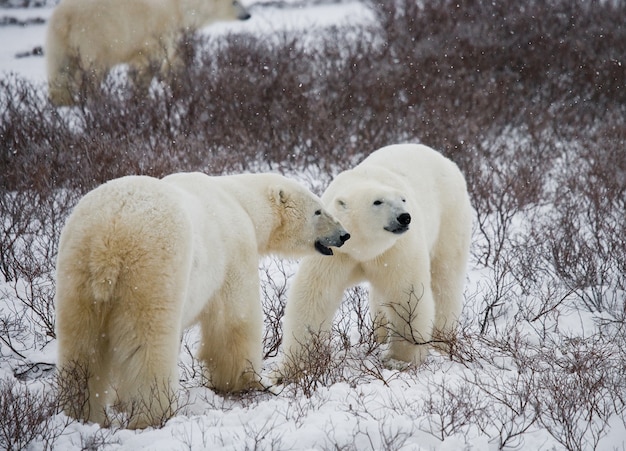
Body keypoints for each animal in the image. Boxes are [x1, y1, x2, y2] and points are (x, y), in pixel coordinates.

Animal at [45, 0, 249, 106]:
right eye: (235, 1)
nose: (247, 15)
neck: (181, 6)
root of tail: (64, 18)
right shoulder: (157, 31)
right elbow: (154, 62)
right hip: (94, 35)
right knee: (91, 70)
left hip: (58, 40)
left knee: (60, 69)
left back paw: (63, 101)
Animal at [54, 171, 348, 430]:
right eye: (318, 210)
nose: (344, 234)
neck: (239, 200)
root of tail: (109, 238)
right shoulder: (235, 250)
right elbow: (235, 320)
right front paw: (246, 381)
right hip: (150, 269)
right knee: (147, 343)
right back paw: (153, 415)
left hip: (76, 270)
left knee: (81, 345)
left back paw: (83, 413)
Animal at [280, 144, 470, 370]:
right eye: (377, 202)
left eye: (403, 199)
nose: (404, 217)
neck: (362, 247)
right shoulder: (335, 249)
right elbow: (315, 295)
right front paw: (296, 366)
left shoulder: (396, 249)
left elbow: (406, 294)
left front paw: (399, 360)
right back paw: (380, 335)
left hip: (450, 217)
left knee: (445, 278)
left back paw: (442, 340)